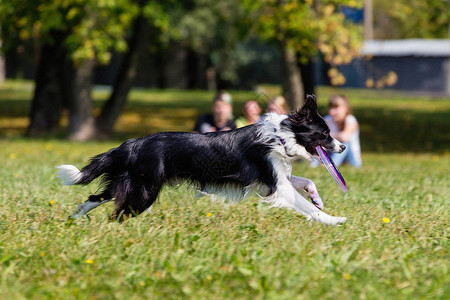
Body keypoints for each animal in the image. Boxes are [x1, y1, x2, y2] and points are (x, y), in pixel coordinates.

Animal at [58, 94, 348, 225]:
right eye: (325, 133)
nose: (343, 146)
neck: (281, 135)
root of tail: (132, 144)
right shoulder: (277, 186)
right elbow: (305, 205)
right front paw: (334, 220)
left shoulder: (275, 178)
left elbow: (307, 181)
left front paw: (318, 199)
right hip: (144, 190)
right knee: (117, 213)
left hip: (129, 182)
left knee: (97, 197)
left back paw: (75, 218)